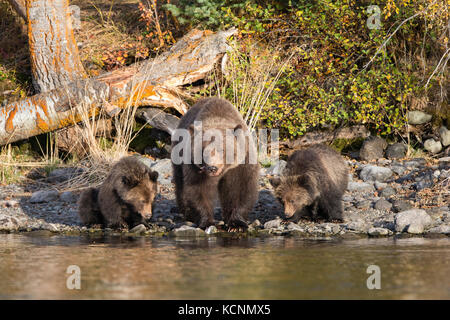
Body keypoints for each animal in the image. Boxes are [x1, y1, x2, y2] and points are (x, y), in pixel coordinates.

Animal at [171, 97, 258, 230]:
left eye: (222, 150)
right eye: (204, 151)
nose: (212, 168)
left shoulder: (242, 163)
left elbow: (240, 188)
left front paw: (236, 224)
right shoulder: (194, 167)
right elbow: (198, 190)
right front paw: (207, 222)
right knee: (180, 182)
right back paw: (187, 213)